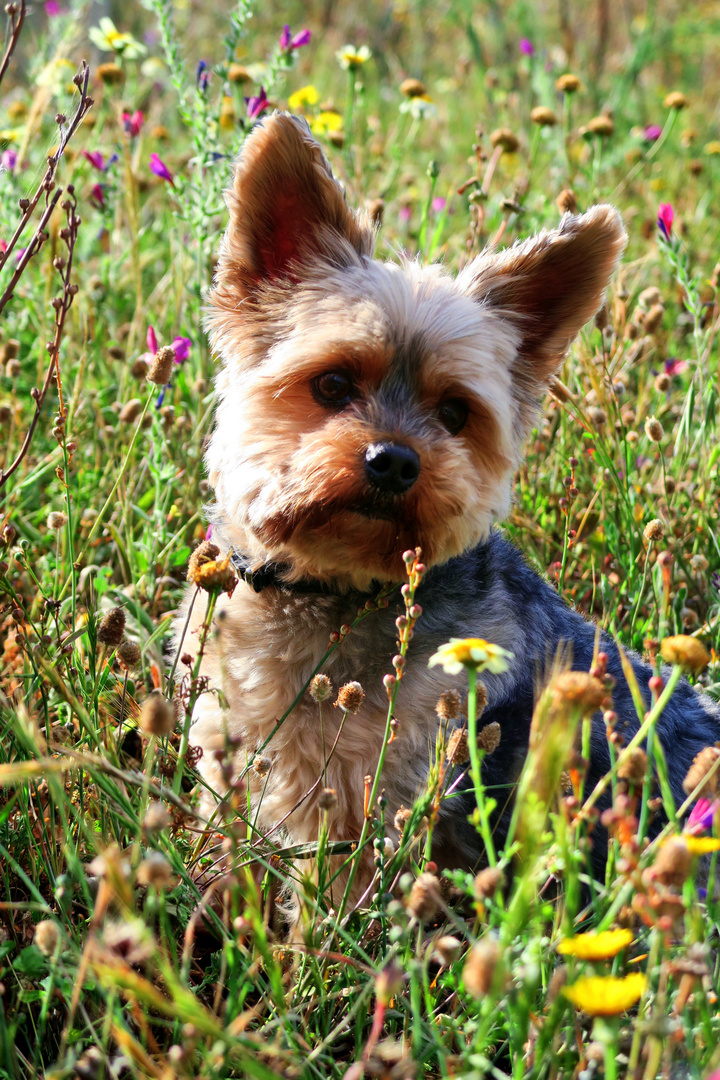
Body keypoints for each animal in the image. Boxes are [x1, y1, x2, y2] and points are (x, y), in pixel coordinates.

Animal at [179, 111, 720, 902]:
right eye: (333, 384)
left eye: (456, 414)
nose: (395, 460)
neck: (332, 589)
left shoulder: (370, 787)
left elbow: (336, 894)